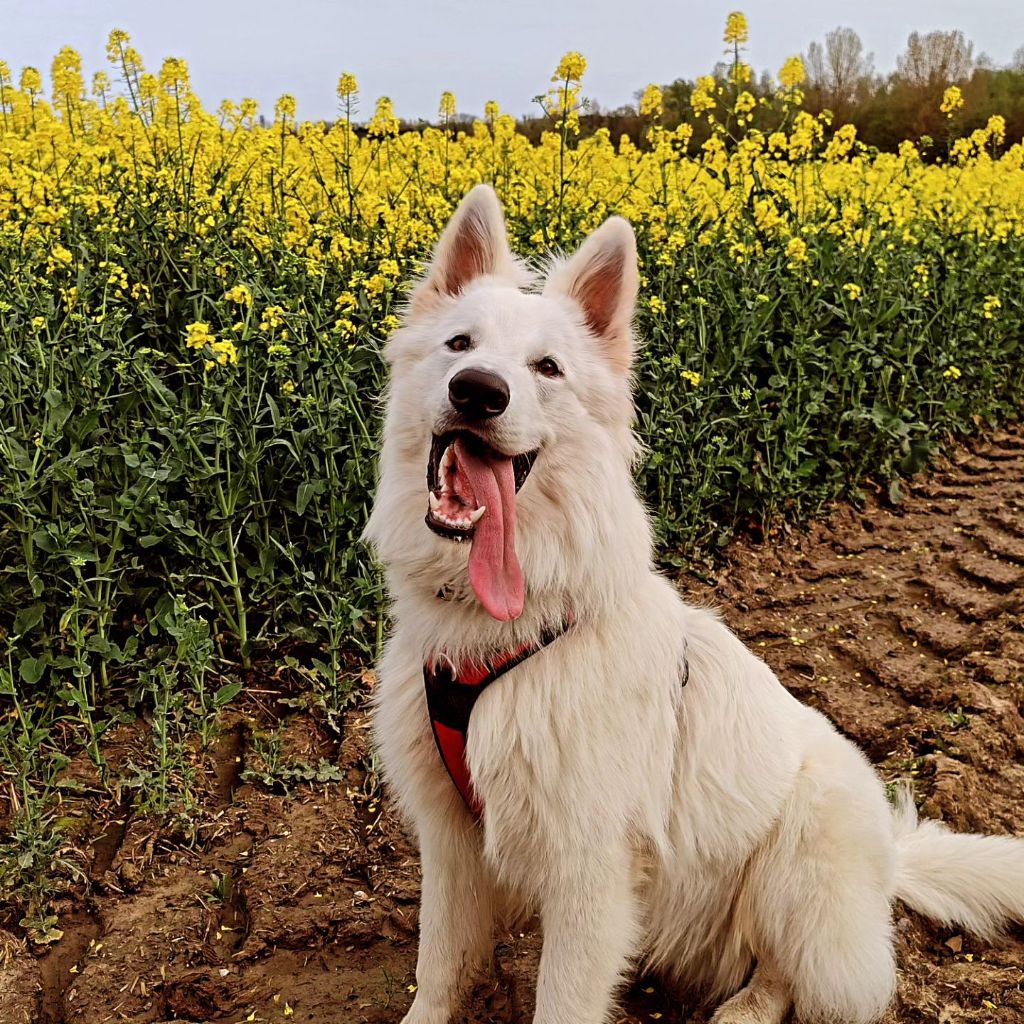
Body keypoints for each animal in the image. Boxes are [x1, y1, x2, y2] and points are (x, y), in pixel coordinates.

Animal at [362, 186, 1024, 1024]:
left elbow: (561, 999)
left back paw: (743, 1010)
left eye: (547, 368)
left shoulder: (588, 872)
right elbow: (441, 964)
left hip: (797, 859)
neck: (505, 627)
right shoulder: (449, 840)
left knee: (790, 977)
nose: (479, 391)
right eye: (459, 344)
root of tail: (892, 860)